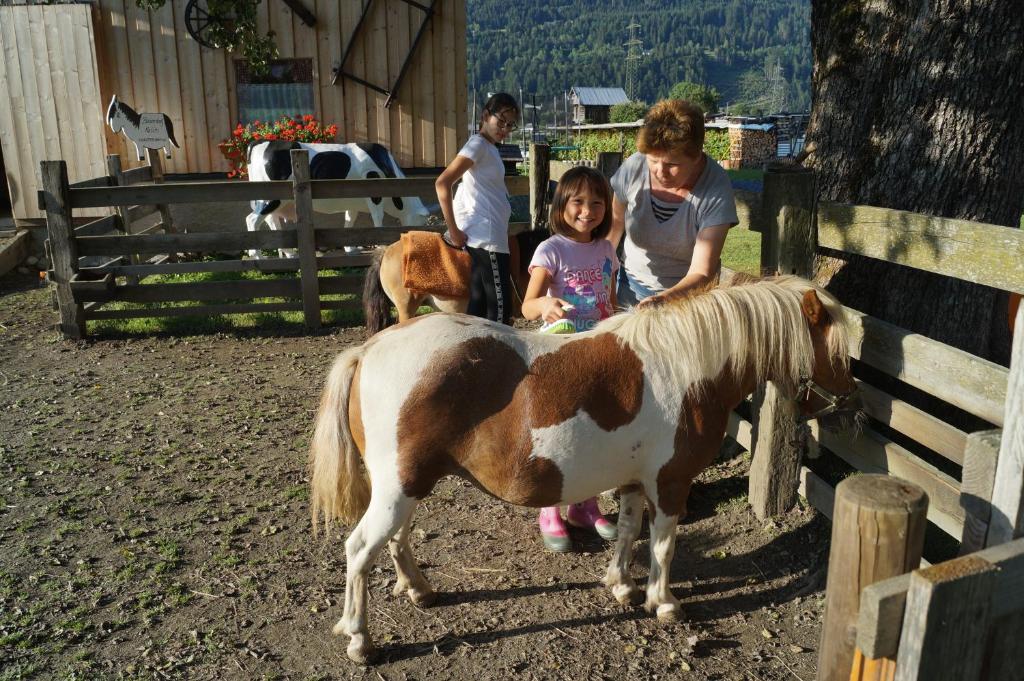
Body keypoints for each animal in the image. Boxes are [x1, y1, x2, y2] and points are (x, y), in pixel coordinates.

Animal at [307, 274, 860, 659]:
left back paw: (419, 591)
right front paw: (663, 602)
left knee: (396, 541)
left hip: (408, 486)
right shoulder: (670, 484)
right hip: (398, 489)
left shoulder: (636, 483)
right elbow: (663, 545)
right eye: (836, 351)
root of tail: (369, 349)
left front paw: (621, 586)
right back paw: (359, 640)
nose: (849, 407)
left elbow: (628, 533)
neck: (687, 367)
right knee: (359, 550)